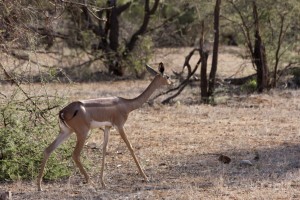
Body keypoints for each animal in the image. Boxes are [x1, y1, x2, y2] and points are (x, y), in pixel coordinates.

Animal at [37, 62, 171, 191]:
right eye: (167, 76)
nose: (171, 82)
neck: (126, 104)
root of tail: (63, 111)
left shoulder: (108, 127)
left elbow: (104, 150)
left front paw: (103, 183)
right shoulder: (119, 126)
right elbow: (130, 148)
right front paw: (145, 177)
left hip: (66, 132)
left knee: (48, 150)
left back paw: (39, 187)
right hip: (82, 133)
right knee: (75, 155)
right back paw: (90, 181)